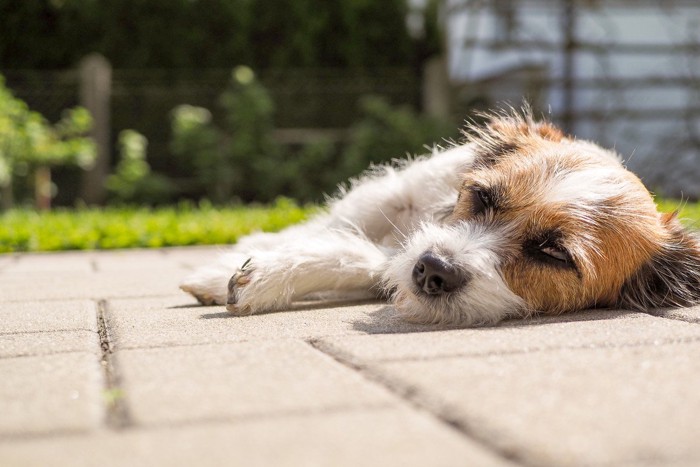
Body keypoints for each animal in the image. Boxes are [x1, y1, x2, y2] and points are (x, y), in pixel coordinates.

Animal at [180, 109, 700, 326]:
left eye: (554, 255)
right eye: (482, 198)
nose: (432, 269)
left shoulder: (391, 255)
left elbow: (356, 256)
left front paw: (259, 278)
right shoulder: (392, 200)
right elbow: (325, 234)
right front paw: (231, 270)